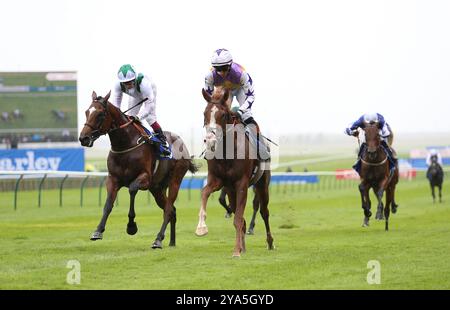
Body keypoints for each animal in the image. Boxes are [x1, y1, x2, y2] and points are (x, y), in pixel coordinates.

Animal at [78, 91, 197, 248]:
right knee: (172, 210)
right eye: (87, 112)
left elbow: (132, 189)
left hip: (175, 181)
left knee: (168, 209)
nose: (83, 138)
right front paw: (98, 231)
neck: (125, 144)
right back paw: (171, 242)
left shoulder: (144, 178)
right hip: (157, 188)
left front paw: (131, 226)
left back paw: (158, 239)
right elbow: (108, 204)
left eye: (100, 114)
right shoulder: (113, 179)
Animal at [195, 86, 272, 256]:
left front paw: (236, 250)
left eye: (223, 114)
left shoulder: (241, 183)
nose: (210, 141)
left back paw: (270, 242)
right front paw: (201, 228)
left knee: (264, 212)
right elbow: (204, 193)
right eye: (204, 113)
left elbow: (238, 218)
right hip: (231, 190)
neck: (227, 153)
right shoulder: (217, 181)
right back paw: (243, 246)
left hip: (262, 184)